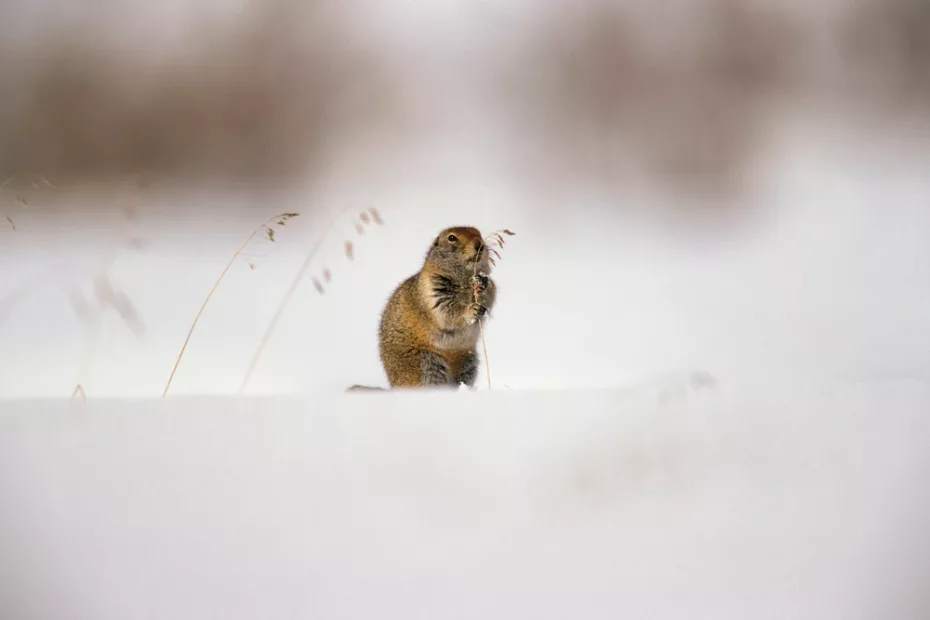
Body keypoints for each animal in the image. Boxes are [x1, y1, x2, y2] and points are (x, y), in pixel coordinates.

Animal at [374, 225, 496, 386]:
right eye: (451, 237)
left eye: (479, 234)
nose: (480, 244)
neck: (464, 279)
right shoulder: (432, 289)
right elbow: (446, 310)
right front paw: (471, 310)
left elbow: (490, 296)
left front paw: (482, 283)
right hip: (425, 364)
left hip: (469, 363)